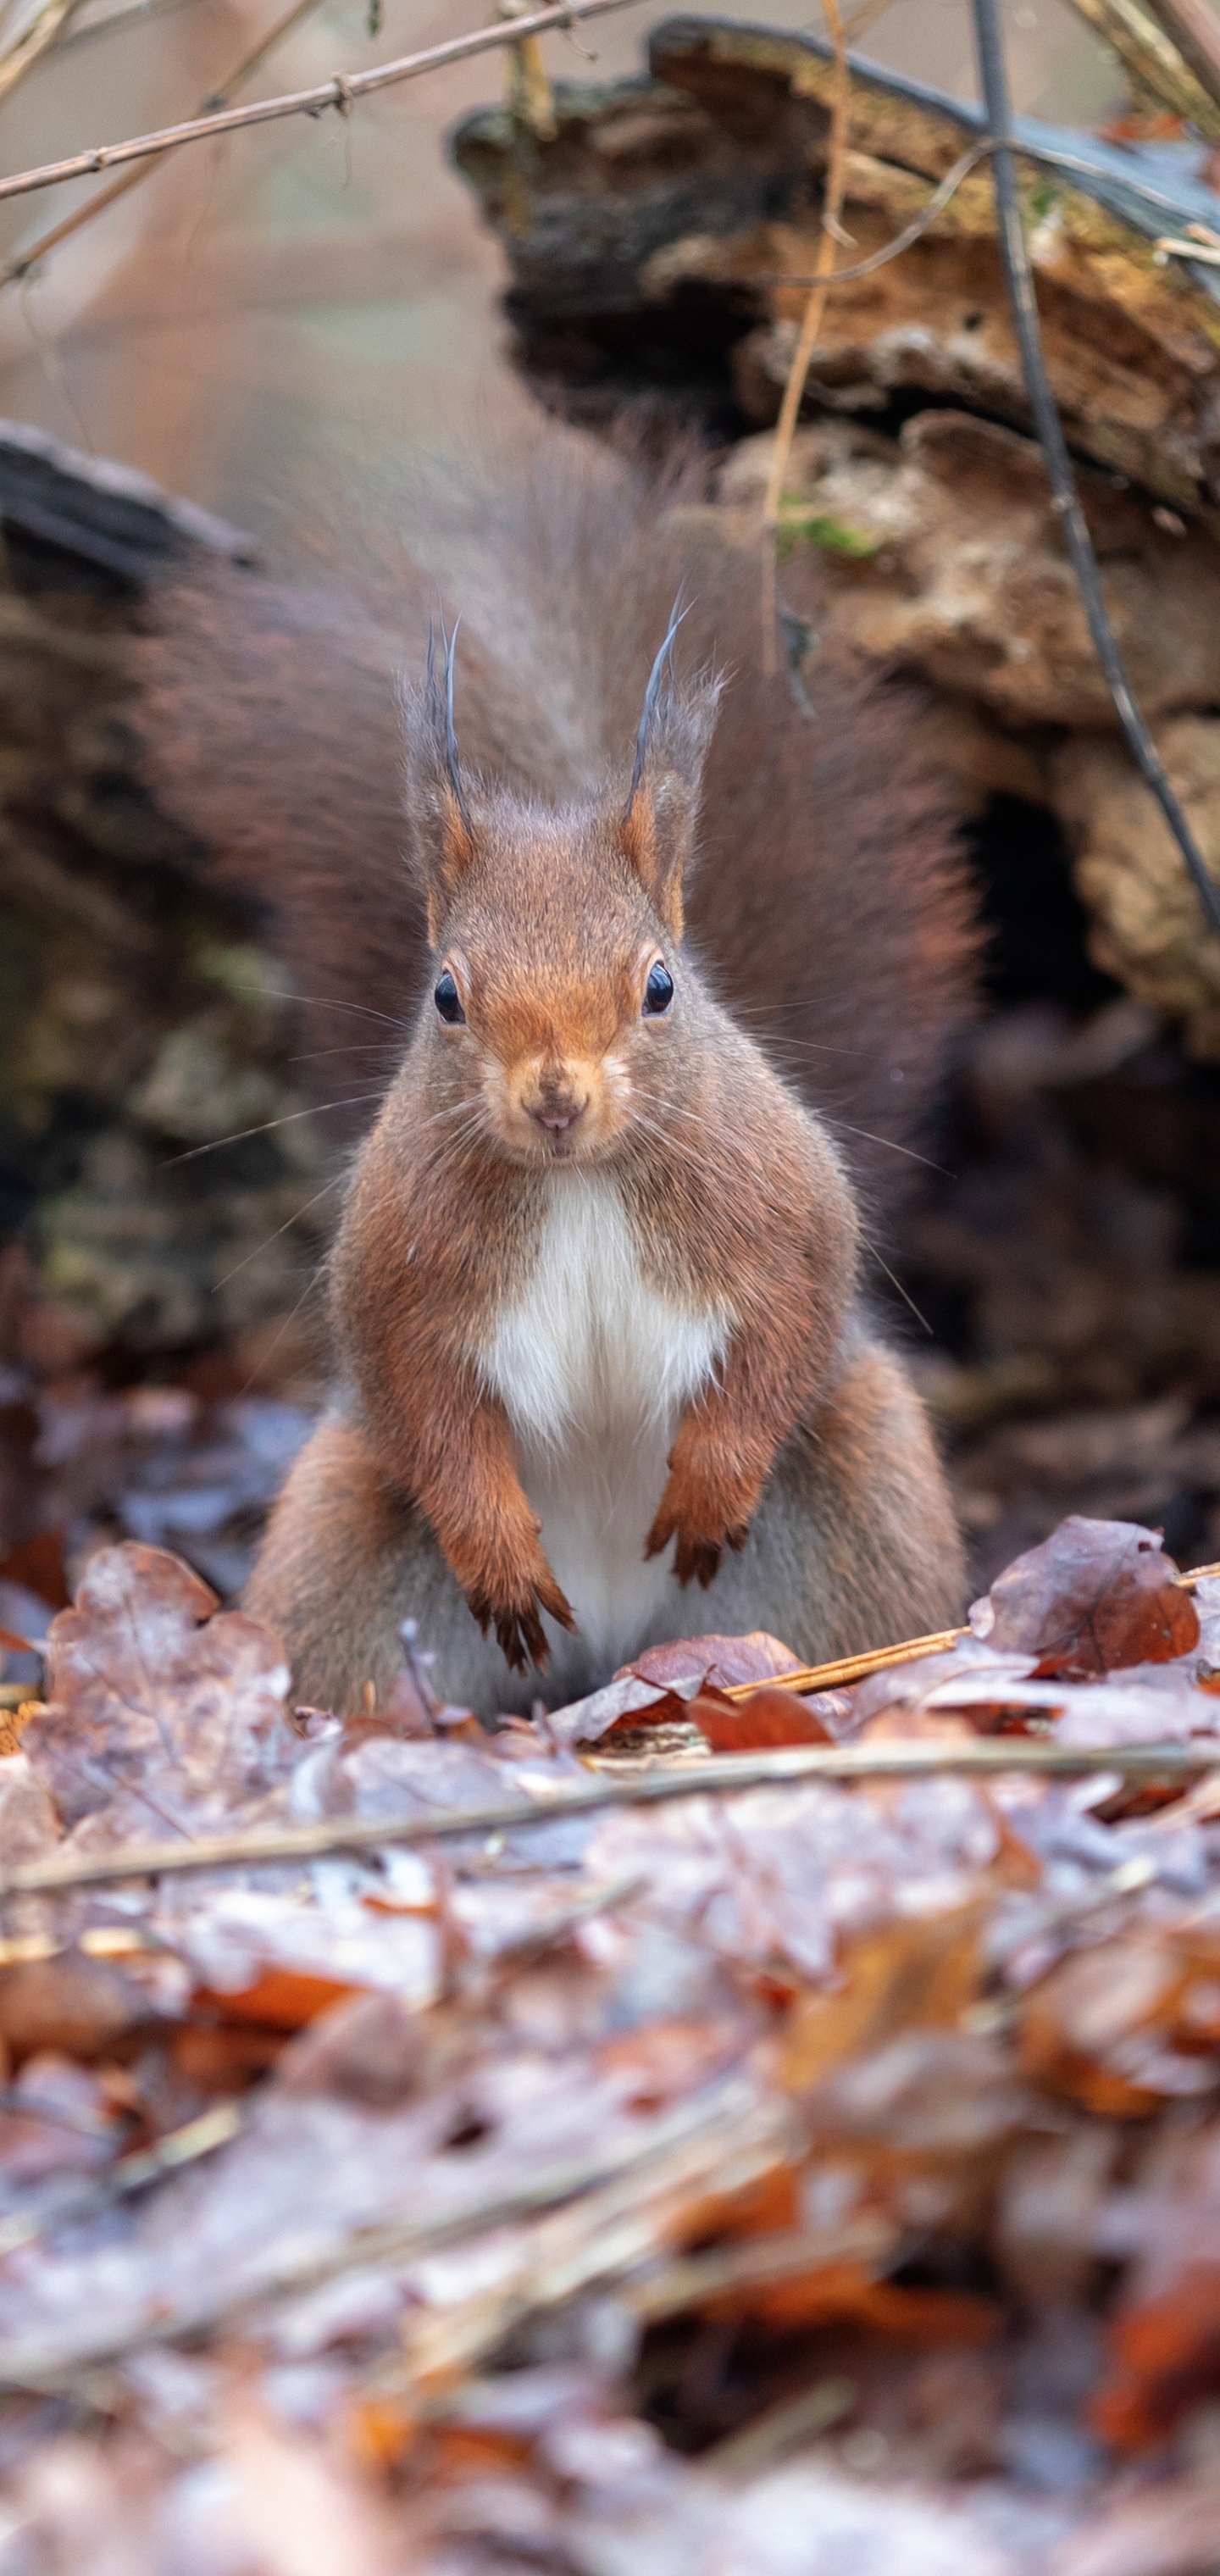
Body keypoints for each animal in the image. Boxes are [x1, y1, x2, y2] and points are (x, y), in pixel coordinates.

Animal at [136, 417, 973, 1710]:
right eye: (445, 996)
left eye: (662, 985)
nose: (557, 1097)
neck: (580, 1184)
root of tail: (615, 1642)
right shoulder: (403, 1280)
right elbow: (428, 1409)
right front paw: (496, 1549)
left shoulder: (782, 1214)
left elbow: (784, 1329)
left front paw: (713, 1477)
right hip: (341, 1549)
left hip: (865, 1495)